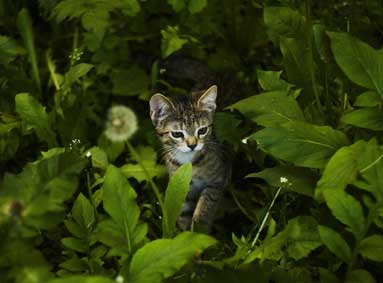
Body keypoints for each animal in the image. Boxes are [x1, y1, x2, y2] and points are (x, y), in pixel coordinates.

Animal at [150, 85, 231, 232]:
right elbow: (183, 213)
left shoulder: (217, 182)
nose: (192, 145)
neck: (190, 162)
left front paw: (199, 229)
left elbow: (205, 206)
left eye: (202, 130)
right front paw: (186, 234)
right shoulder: (182, 185)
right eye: (177, 134)